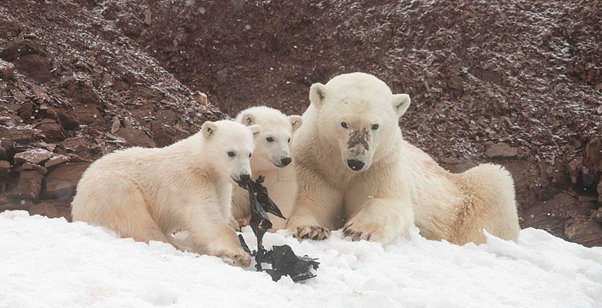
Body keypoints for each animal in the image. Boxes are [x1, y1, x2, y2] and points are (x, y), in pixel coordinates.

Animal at [71, 119, 260, 266]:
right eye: (231, 152)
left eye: (250, 154)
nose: (244, 176)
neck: (200, 163)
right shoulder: (188, 181)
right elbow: (203, 214)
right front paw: (239, 254)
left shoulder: (219, 184)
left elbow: (219, 211)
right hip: (109, 190)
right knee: (135, 219)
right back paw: (174, 245)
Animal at [284, 72, 516, 245]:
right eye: (343, 123)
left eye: (375, 125)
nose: (356, 162)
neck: (342, 170)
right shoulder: (314, 165)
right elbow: (308, 200)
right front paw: (311, 229)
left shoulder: (381, 165)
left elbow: (389, 202)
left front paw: (359, 230)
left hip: (464, 198)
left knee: (494, 181)